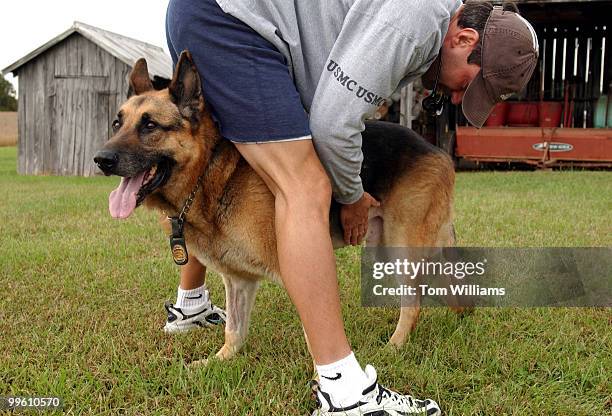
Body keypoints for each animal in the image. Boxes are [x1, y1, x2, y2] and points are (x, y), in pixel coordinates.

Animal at [94, 52, 460, 362]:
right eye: (117, 123)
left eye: (150, 125)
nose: (101, 160)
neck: (211, 173)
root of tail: (437, 150)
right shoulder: (239, 281)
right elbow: (234, 330)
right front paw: (221, 362)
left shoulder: (296, 270)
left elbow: (316, 335)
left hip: (401, 249)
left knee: (413, 304)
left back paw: (395, 346)